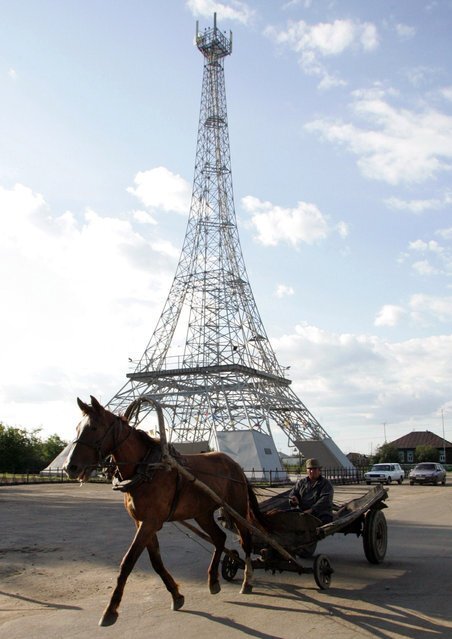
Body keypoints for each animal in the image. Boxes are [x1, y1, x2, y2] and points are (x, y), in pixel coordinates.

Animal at [61, 398, 264, 628]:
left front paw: (111, 609)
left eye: (94, 428)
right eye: (77, 428)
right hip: (202, 513)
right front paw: (176, 595)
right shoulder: (142, 522)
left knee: (245, 541)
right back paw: (213, 580)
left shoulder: (150, 523)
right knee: (219, 538)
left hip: (237, 508)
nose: (70, 467)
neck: (146, 468)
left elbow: (127, 563)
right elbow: (156, 562)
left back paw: (247, 580)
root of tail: (235, 464)